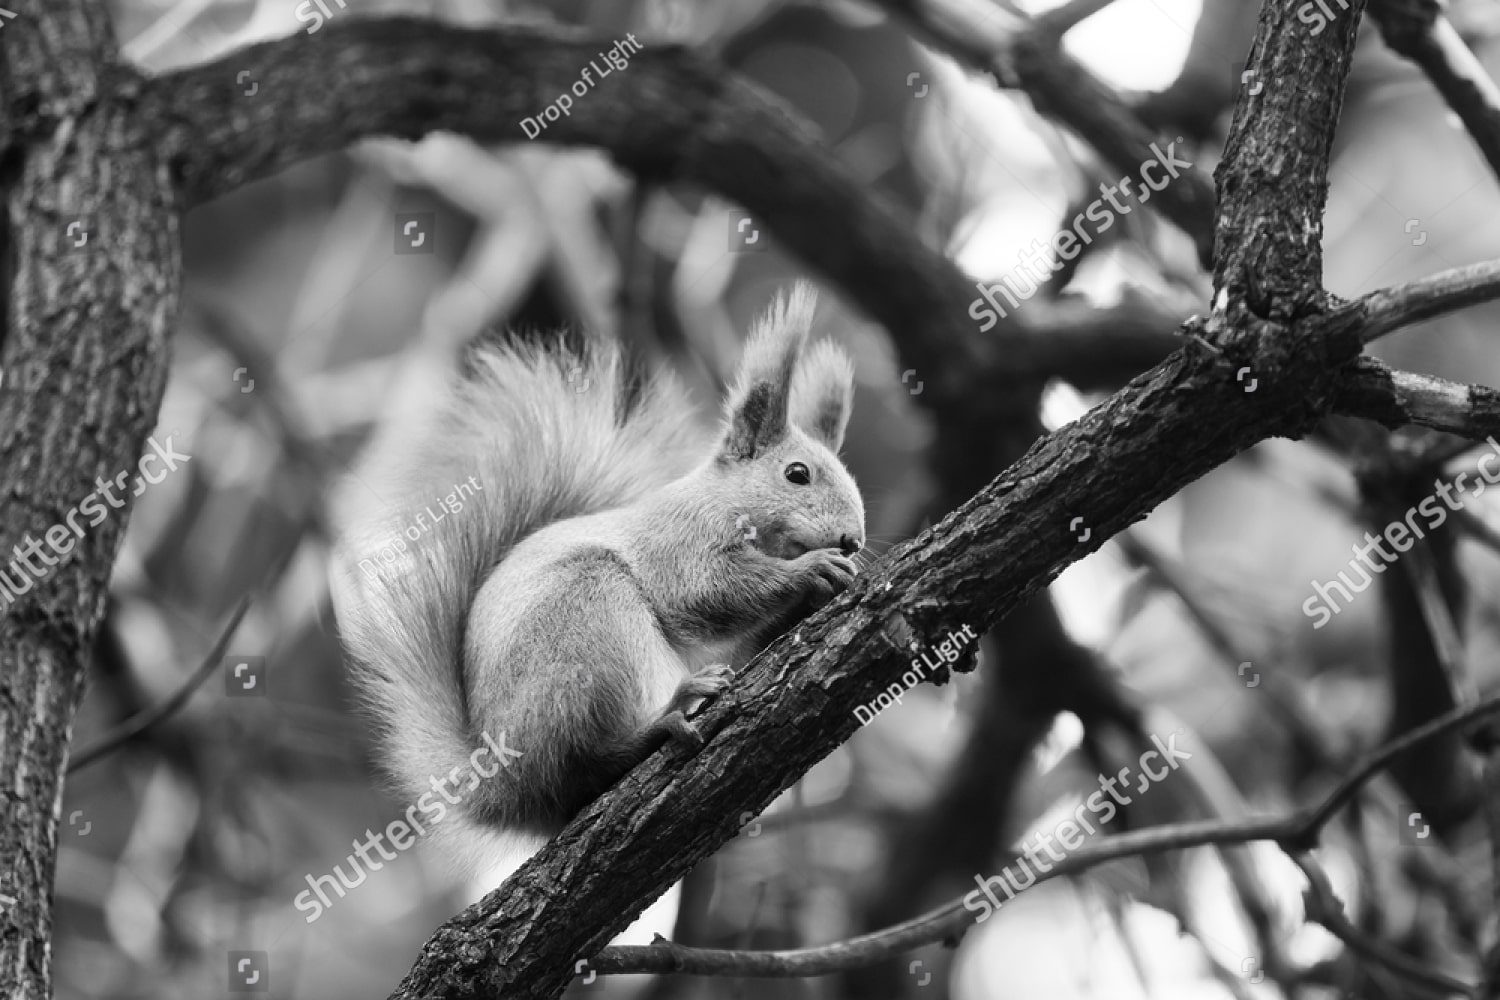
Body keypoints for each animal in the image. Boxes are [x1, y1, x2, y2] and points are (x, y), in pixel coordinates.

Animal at [330, 283, 866, 861]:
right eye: (797, 474)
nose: (853, 539)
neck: (724, 502)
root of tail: (504, 781)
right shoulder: (680, 543)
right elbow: (706, 593)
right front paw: (810, 569)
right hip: (585, 616)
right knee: (585, 761)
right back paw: (660, 722)